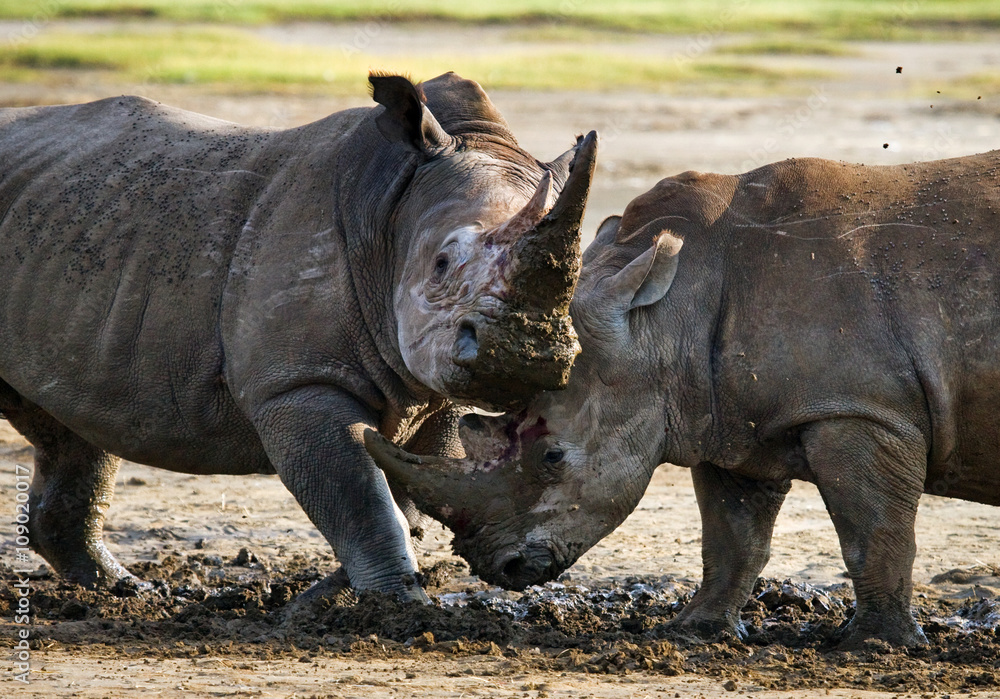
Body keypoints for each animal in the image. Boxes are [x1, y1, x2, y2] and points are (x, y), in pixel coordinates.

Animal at [0, 72, 599, 600]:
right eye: (442, 264)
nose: (524, 358)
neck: (394, 213)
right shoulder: (296, 383)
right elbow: (361, 499)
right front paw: (398, 607)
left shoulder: (433, 383)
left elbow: (415, 486)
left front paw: (330, 599)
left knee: (72, 428)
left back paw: (126, 591)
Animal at [368, 150, 1000, 643]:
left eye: (553, 457)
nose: (495, 565)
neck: (668, 315)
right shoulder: (732, 421)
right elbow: (732, 539)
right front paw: (693, 631)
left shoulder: (859, 411)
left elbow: (873, 533)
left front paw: (874, 645)